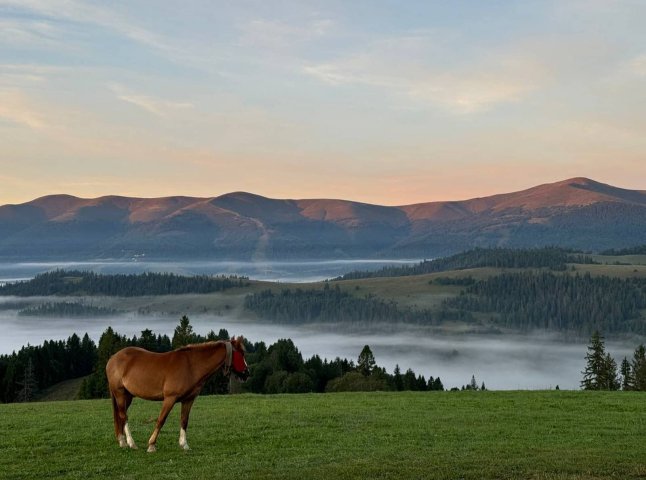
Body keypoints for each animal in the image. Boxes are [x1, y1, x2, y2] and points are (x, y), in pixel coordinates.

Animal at [105, 336, 249, 452]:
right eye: (241, 353)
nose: (247, 373)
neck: (191, 366)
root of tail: (113, 358)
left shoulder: (188, 400)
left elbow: (184, 421)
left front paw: (184, 444)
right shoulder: (170, 398)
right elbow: (161, 420)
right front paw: (151, 445)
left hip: (127, 396)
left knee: (120, 415)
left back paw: (122, 441)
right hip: (119, 393)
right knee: (123, 416)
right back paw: (131, 443)